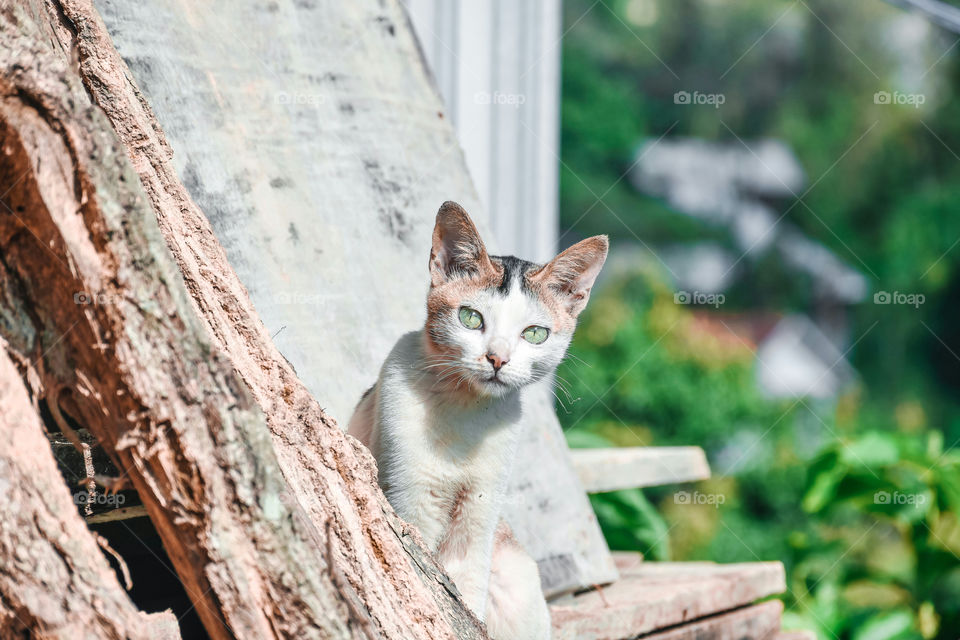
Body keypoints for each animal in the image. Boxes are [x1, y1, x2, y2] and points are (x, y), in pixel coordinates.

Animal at [348, 201, 608, 640]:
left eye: (534, 334)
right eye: (471, 319)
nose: (497, 359)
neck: (465, 411)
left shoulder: (478, 516)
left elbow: (466, 591)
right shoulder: (408, 502)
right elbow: (422, 582)